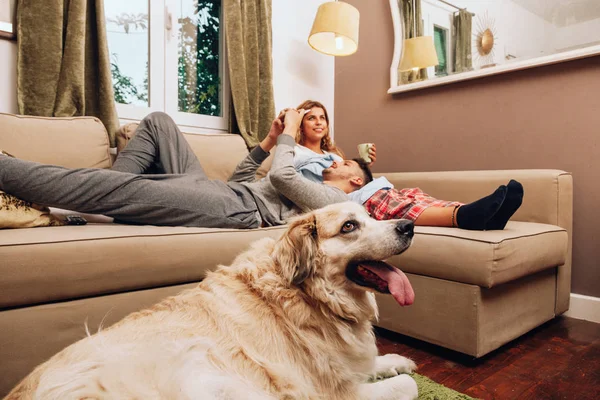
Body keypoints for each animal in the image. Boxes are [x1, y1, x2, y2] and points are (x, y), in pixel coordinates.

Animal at [5, 203, 418, 400]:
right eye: (349, 226)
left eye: (370, 215)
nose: (408, 226)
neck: (308, 295)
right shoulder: (334, 393)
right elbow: (407, 387)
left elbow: (376, 362)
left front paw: (398, 360)